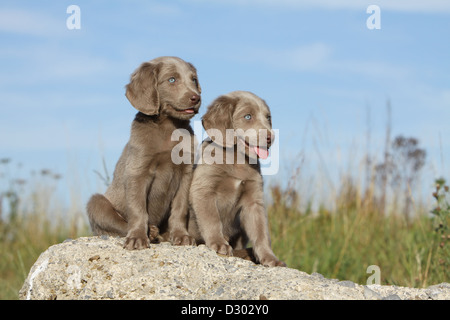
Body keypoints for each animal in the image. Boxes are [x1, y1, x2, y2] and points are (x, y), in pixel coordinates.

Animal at [85, 56, 200, 249]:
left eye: (193, 80)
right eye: (172, 80)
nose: (196, 98)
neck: (169, 129)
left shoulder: (186, 173)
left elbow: (180, 208)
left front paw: (181, 236)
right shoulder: (137, 172)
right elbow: (137, 209)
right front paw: (137, 238)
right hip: (96, 203)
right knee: (117, 223)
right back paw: (151, 232)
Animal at [188, 90, 286, 268]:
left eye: (268, 117)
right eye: (248, 116)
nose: (270, 137)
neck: (237, 159)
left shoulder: (254, 200)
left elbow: (261, 232)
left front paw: (270, 258)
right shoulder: (204, 189)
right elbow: (212, 218)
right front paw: (219, 244)